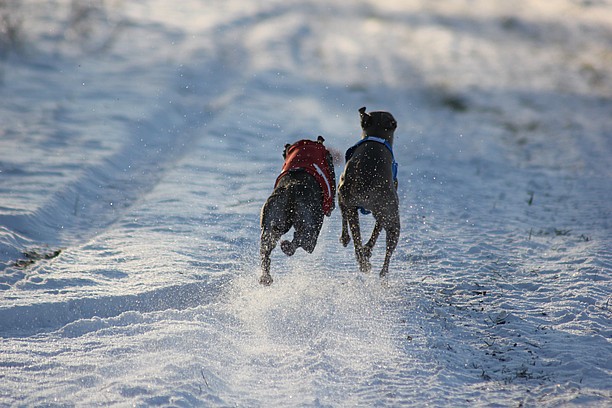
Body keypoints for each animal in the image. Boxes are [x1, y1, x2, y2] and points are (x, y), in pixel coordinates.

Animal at [258, 135, 334, 286]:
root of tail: (291, 187)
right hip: (311, 226)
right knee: (303, 241)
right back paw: (288, 246)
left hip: (271, 223)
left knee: (266, 251)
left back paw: (266, 277)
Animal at [338, 107, 400, 278]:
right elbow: (376, 233)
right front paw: (367, 250)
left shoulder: (342, 196)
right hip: (392, 220)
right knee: (386, 251)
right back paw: (380, 273)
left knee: (356, 238)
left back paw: (364, 262)